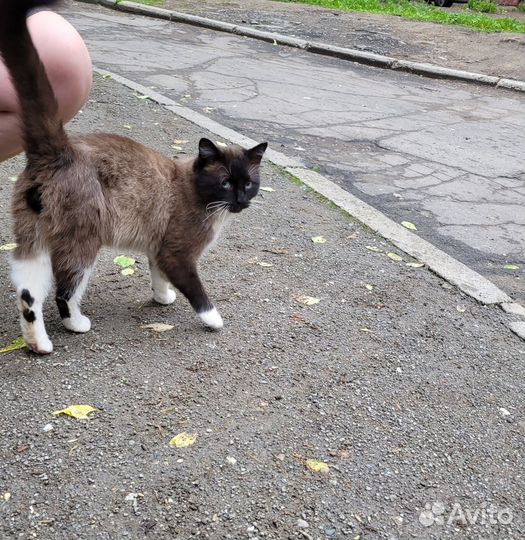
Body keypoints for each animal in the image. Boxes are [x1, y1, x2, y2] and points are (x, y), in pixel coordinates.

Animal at [0, 0, 266, 354]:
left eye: (248, 183)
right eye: (225, 183)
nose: (239, 201)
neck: (200, 196)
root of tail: (60, 150)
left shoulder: (158, 248)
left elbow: (157, 275)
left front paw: (162, 297)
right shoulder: (177, 253)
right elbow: (196, 289)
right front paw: (213, 319)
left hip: (33, 236)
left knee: (28, 294)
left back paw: (38, 343)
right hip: (83, 240)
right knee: (64, 290)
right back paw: (77, 324)